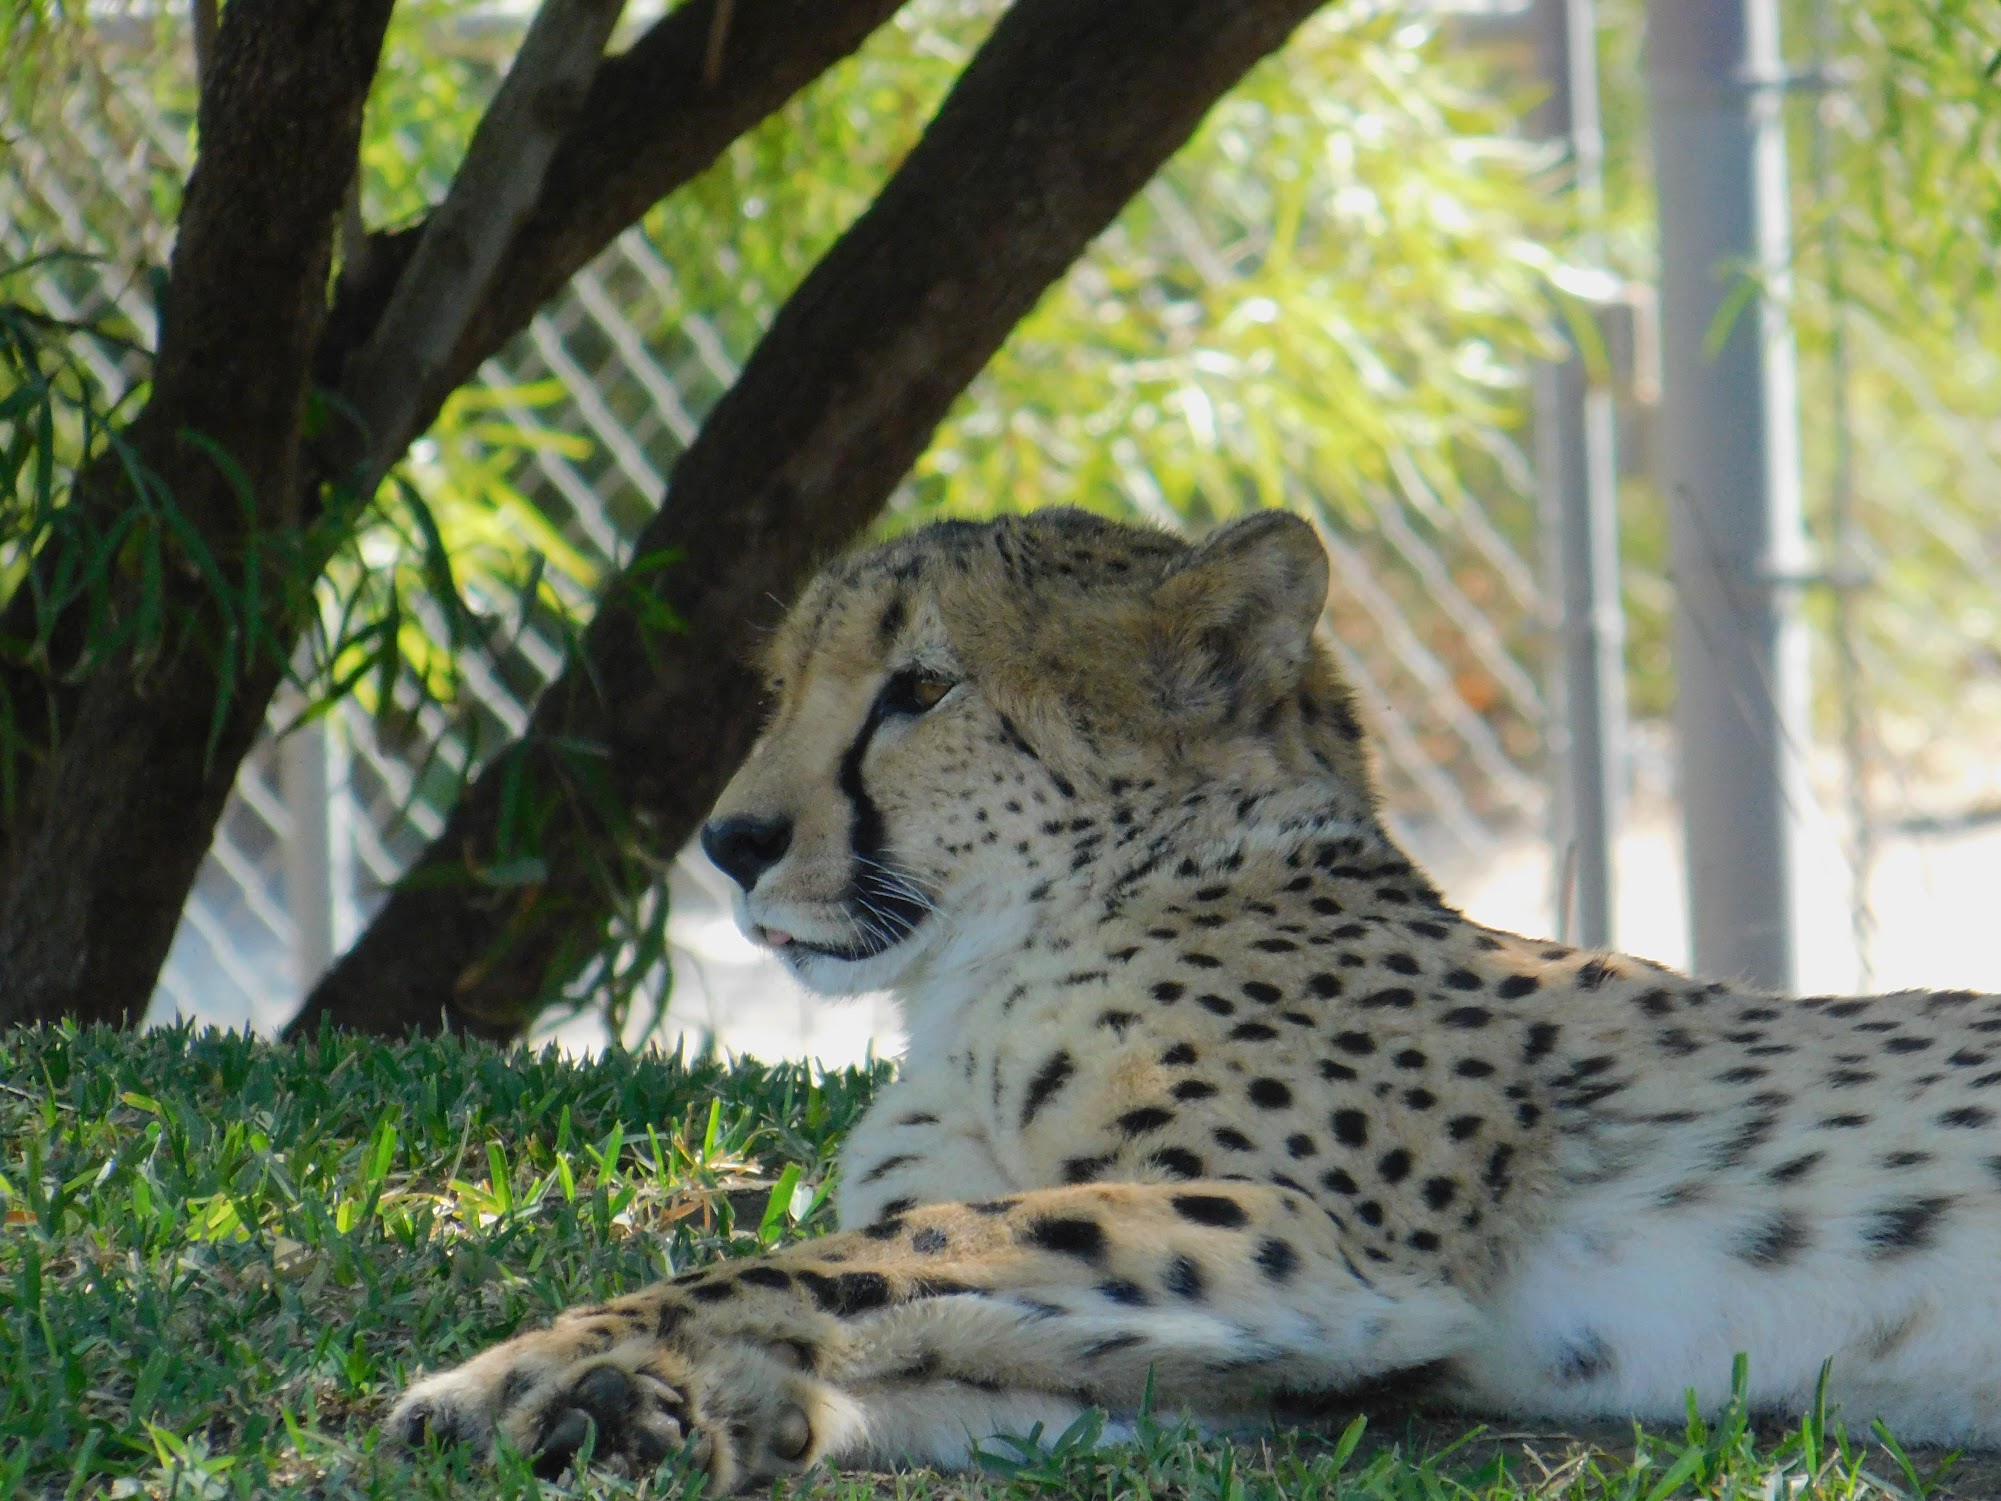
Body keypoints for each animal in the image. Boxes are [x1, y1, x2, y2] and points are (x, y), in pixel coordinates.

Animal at [389, 507, 2001, 1487]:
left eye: (920, 688)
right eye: (787, 683)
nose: (733, 841)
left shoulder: (1319, 1238)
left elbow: (844, 1257)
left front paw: (515, 1369)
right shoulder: (1316, 1336)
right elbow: (956, 1330)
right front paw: (663, 1409)